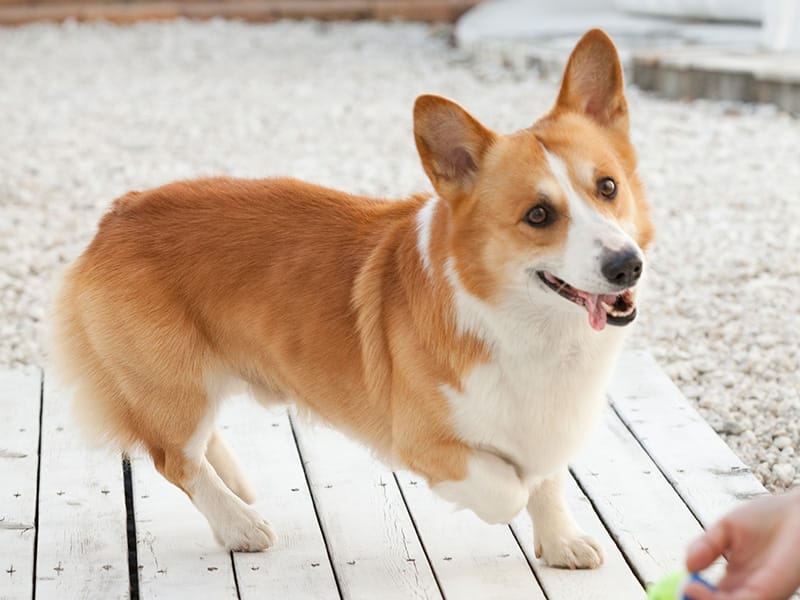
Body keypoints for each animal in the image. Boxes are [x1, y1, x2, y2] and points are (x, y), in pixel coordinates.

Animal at [48, 28, 648, 568]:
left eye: (608, 187)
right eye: (538, 215)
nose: (627, 265)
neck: (530, 325)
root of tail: (118, 211)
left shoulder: (547, 425)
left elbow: (547, 483)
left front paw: (562, 543)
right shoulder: (425, 442)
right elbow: (510, 487)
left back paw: (237, 483)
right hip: (177, 383)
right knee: (174, 458)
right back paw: (240, 524)